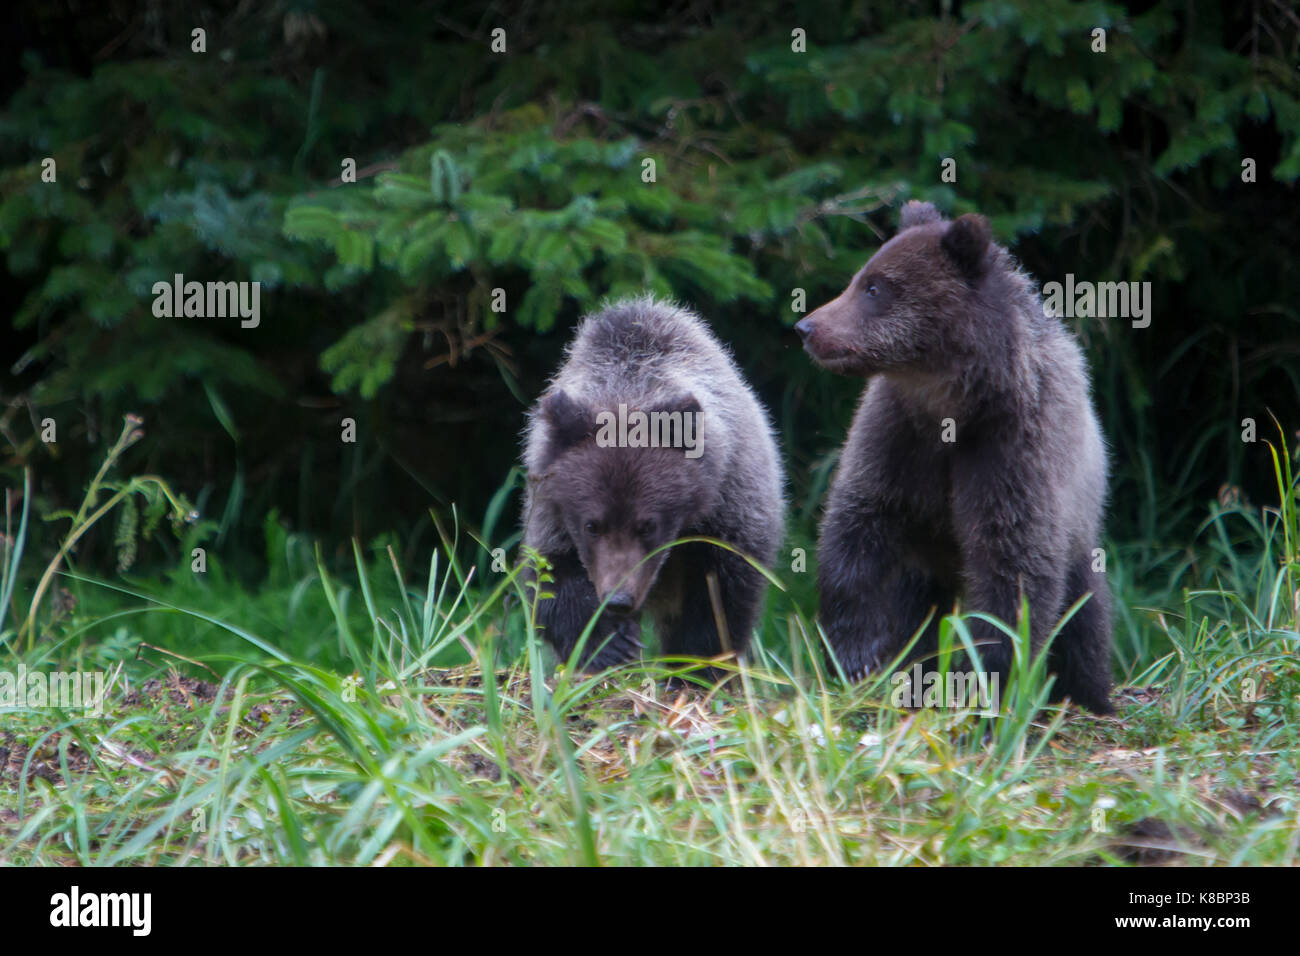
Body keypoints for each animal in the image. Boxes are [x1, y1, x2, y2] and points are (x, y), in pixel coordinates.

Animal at [517, 297, 780, 671]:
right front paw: (608, 643)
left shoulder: (729, 503)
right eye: (591, 525)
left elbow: (719, 599)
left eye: (648, 525)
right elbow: (551, 577)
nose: (618, 599)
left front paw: (694, 665)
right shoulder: (549, 507)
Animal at [795, 200, 1112, 712]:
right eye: (860, 277)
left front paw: (988, 681)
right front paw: (857, 656)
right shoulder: (896, 439)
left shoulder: (1011, 452)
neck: (952, 406)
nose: (807, 327)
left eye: (875, 287)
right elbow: (855, 531)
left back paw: (1088, 692)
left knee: (1084, 608)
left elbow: (1015, 570)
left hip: (1079, 515)